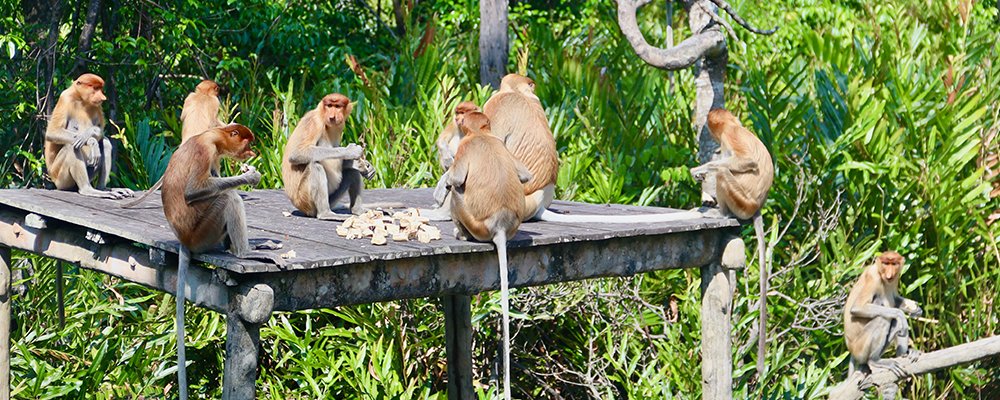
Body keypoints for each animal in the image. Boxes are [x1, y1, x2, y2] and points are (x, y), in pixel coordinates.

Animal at [121, 79, 225, 208]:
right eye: (217, 91)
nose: (220, 94)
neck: (203, 94)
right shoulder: (214, 102)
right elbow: (214, 122)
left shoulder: (190, 97)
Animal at [162, 123, 284, 398]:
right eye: (247, 141)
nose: (251, 151)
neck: (212, 136)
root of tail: (185, 240)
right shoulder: (205, 151)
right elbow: (195, 191)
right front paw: (251, 176)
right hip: (204, 230)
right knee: (228, 197)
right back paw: (244, 253)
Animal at [450, 111, 536, 400]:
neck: (482, 135)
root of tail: (500, 224)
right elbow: (525, 176)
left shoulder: (464, 148)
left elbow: (456, 180)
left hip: (474, 222)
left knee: (457, 193)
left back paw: (460, 234)